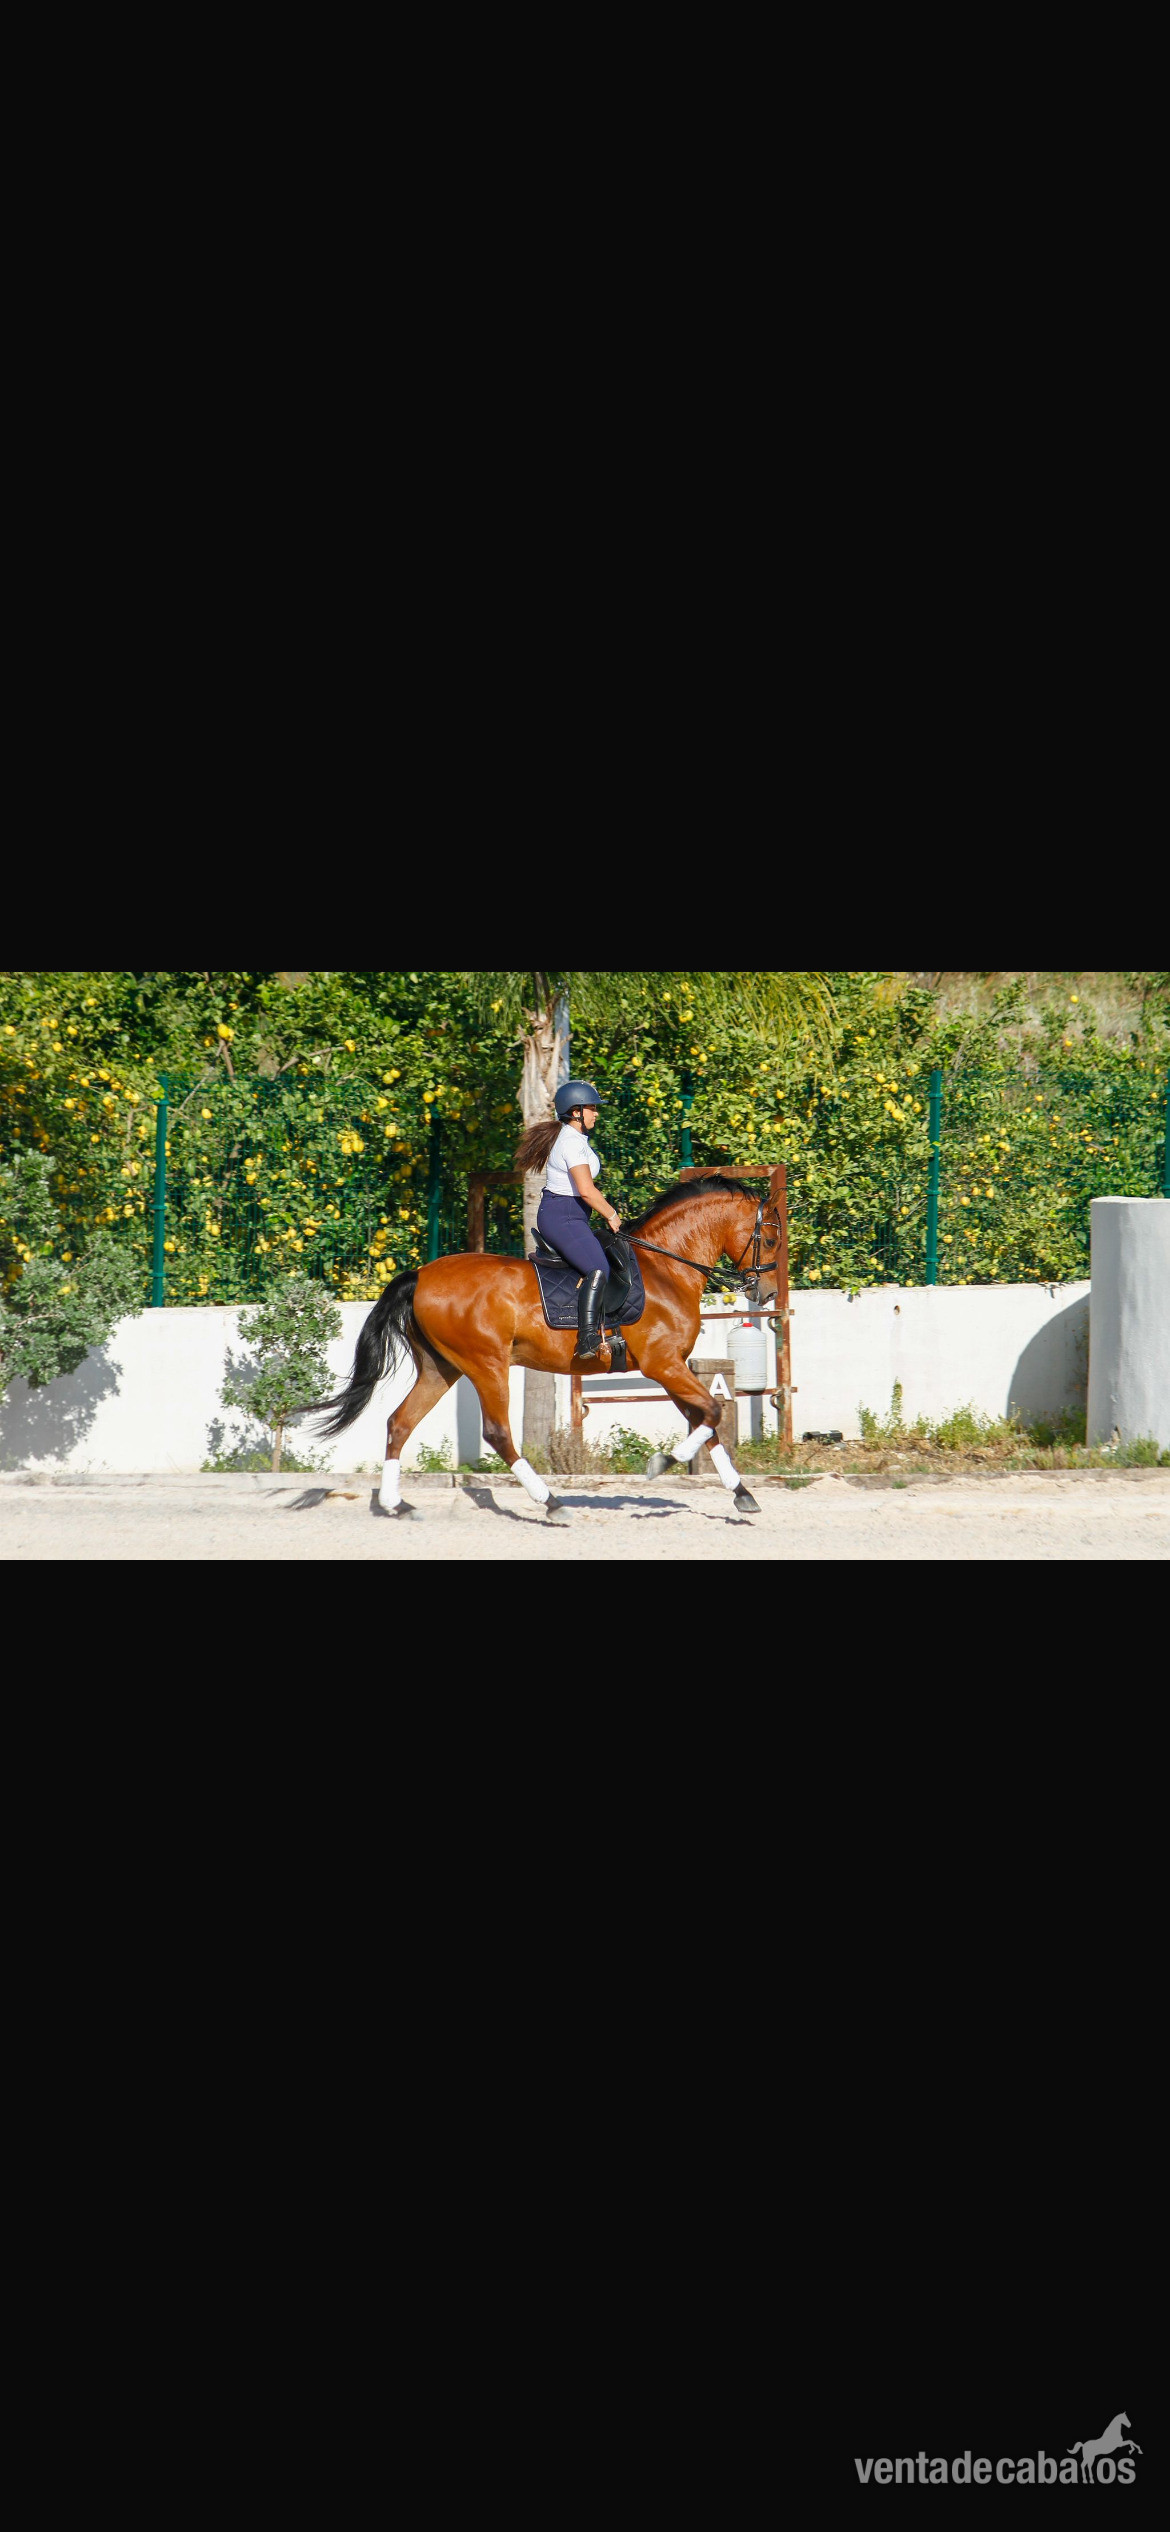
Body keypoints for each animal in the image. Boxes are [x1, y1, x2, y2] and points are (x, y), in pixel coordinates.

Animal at [302, 1171, 785, 1522]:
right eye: (770, 1239)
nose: (766, 1294)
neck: (665, 1268)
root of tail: (421, 1274)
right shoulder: (663, 1365)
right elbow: (713, 1413)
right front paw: (663, 1461)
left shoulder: (672, 1369)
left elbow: (707, 1421)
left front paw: (741, 1494)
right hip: (486, 1364)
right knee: (497, 1432)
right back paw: (550, 1502)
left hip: (442, 1368)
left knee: (399, 1423)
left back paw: (396, 1504)